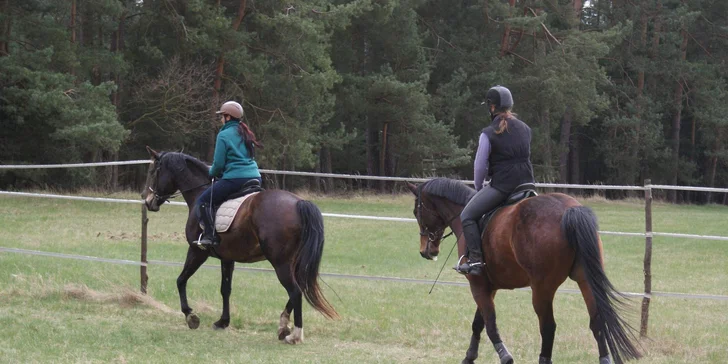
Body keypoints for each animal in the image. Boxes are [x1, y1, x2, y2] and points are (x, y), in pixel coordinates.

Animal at [140, 146, 338, 342]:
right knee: (300, 288)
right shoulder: (227, 258)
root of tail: (298, 203)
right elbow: (225, 289)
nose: (147, 200)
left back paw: (295, 335)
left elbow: (181, 280)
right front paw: (223, 322)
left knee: (295, 291)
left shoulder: (197, 251)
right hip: (293, 262)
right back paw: (283, 326)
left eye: (152, 171)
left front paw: (191, 316)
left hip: (280, 262)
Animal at [406, 179, 640, 364]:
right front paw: (469, 357)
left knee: (548, 328)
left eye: (416, 211)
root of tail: (568, 210)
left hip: (542, 289)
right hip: (585, 281)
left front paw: (505, 356)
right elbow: (478, 323)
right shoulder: (489, 286)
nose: (426, 251)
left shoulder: (477, 284)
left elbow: (490, 324)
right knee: (597, 322)